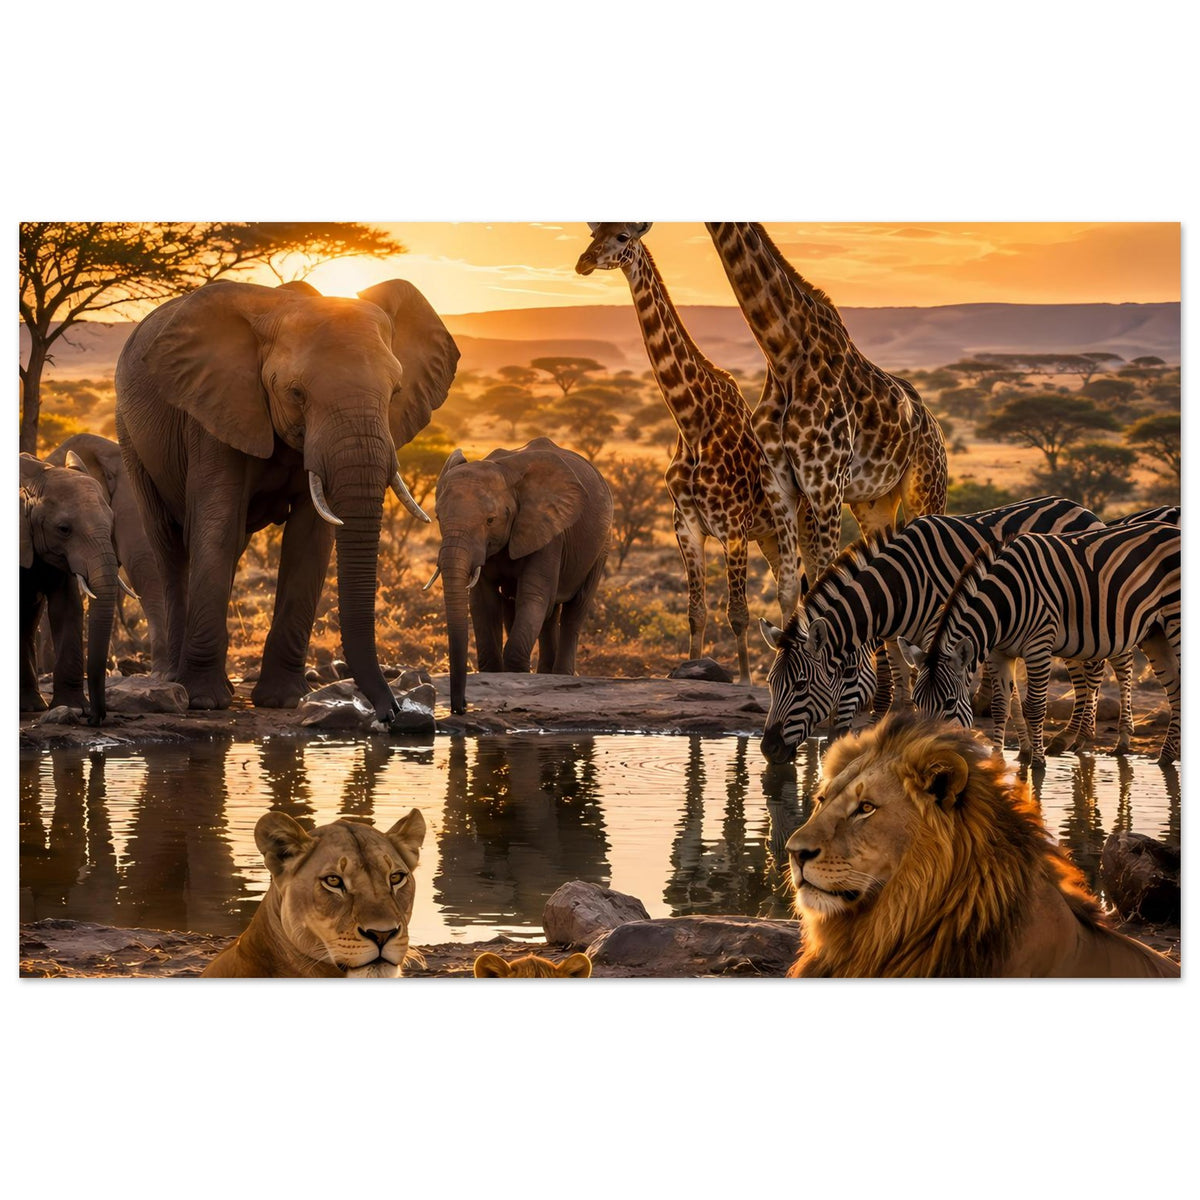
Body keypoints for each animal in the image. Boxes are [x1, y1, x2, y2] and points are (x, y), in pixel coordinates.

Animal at [758, 495, 1103, 762]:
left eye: (801, 685)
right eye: (771, 683)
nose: (768, 749)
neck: (898, 587)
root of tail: (1081, 507)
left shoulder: (940, 633)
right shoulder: (898, 640)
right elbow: (903, 696)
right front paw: (1026, 750)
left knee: (1093, 671)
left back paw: (1077, 738)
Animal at [907, 521, 1181, 766]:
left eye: (950, 703)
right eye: (916, 703)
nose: (924, 755)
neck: (1003, 603)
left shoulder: (1038, 646)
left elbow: (1036, 707)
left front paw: (1037, 763)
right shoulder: (998, 653)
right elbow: (1000, 706)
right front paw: (997, 761)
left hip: (1173, 620)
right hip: (1154, 633)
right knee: (1174, 686)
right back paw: (1166, 757)